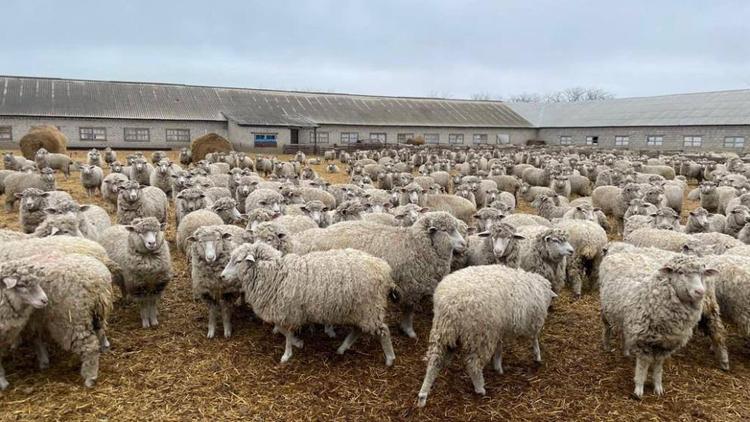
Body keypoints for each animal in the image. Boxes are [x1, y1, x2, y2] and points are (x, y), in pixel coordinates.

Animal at [223, 241, 400, 366]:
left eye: (238, 261)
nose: (222, 276)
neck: (276, 274)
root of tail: (385, 270)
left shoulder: (288, 311)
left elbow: (285, 332)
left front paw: (288, 353)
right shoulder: (287, 312)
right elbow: (283, 331)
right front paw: (297, 343)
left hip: (370, 308)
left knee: (384, 331)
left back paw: (390, 359)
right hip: (360, 310)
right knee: (358, 330)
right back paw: (342, 348)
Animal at [292, 213, 464, 338]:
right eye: (446, 230)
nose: (464, 244)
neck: (415, 245)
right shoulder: (411, 286)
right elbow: (408, 311)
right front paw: (408, 330)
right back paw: (329, 330)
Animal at [418, 266, 560, 408]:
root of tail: (450, 304)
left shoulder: (500, 329)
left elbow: (499, 348)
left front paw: (497, 366)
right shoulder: (531, 322)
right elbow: (534, 339)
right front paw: (537, 356)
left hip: (442, 330)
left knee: (434, 361)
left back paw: (423, 395)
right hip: (480, 335)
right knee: (473, 365)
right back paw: (480, 388)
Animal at [604, 254, 720, 398]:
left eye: (702, 274)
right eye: (680, 272)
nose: (700, 291)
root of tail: (619, 254)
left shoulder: (666, 344)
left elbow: (658, 367)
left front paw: (658, 387)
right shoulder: (643, 340)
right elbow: (642, 366)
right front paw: (638, 389)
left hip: (628, 320)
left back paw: (626, 351)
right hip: (606, 311)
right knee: (607, 328)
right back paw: (606, 345)